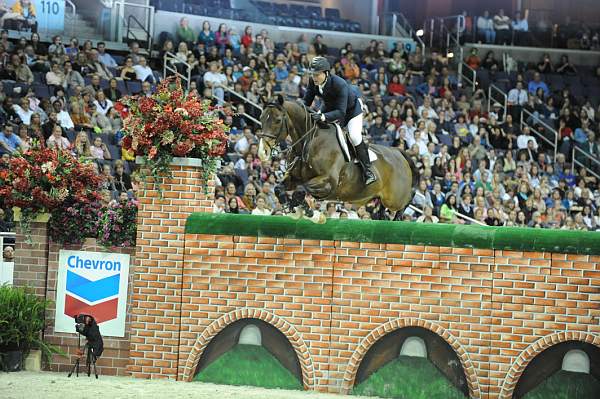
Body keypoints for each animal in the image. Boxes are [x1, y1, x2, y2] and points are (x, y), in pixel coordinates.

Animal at [258, 96, 418, 212]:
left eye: (278, 120)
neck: (308, 143)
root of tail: (397, 152)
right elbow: (279, 188)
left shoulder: (328, 181)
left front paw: (302, 207)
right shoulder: (294, 178)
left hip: (394, 198)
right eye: (261, 118)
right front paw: (291, 205)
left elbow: (302, 188)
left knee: (406, 200)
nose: (263, 151)